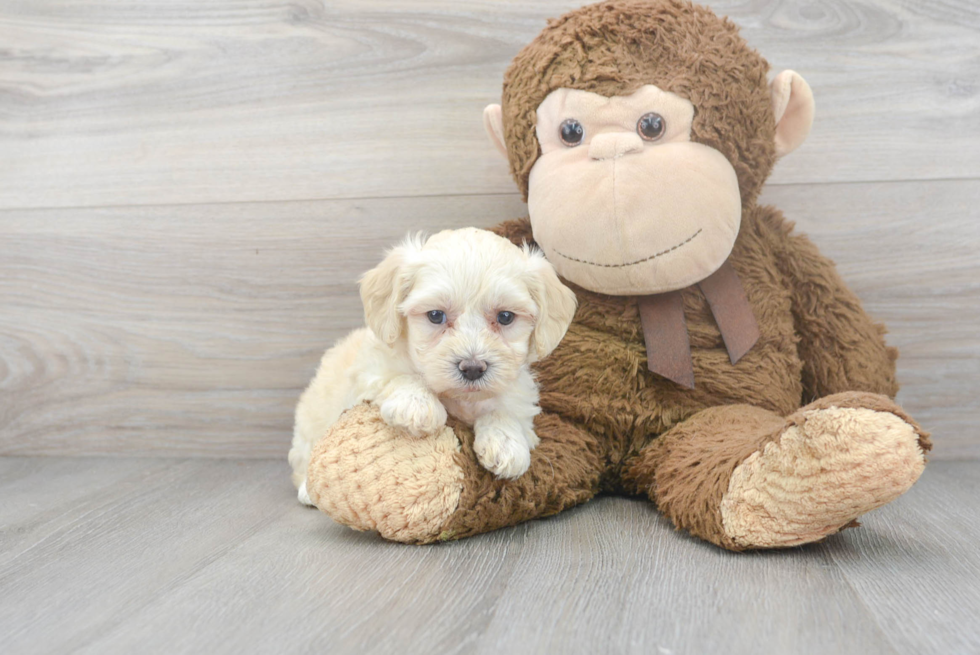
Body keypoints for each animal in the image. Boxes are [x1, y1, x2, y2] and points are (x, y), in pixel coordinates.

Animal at [288, 228, 580, 504]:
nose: (472, 368)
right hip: (308, 428)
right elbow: (398, 376)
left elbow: (505, 411)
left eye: (506, 317)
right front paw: (416, 405)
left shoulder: (519, 400)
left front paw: (507, 444)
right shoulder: (369, 372)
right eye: (436, 316)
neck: (459, 399)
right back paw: (307, 492)